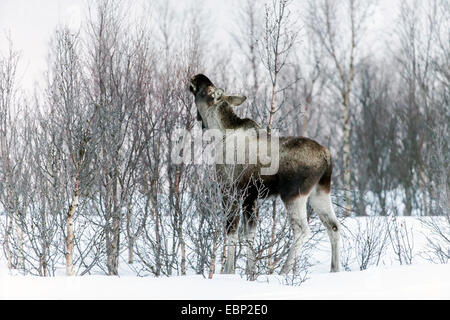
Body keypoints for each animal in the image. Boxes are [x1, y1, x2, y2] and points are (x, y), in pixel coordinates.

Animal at [188, 74, 340, 274]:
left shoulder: (229, 191)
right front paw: (249, 273)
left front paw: (229, 271)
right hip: (319, 192)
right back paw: (335, 270)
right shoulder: (250, 197)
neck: (218, 136)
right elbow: (250, 235)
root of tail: (327, 157)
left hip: (293, 194)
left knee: (302, 230)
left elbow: (231, 234)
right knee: (334, 226)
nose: (197, 77)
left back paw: (283, 271)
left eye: (208, 90)